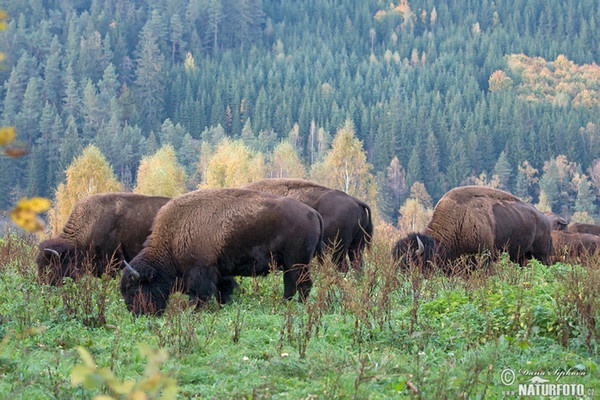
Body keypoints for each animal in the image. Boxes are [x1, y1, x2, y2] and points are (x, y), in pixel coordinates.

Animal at [118, 188, 324, 316]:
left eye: (134, 289)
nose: (137, 314)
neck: (173, 237)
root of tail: (313, 213)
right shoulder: (220, 272)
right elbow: (223, 290)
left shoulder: (200, 271)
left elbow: (200, 294)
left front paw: (194, 311)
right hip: (289, 264)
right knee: (291, 285)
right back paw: (283, 305)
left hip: (297, 262)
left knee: (303, 284)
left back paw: (298, 306)